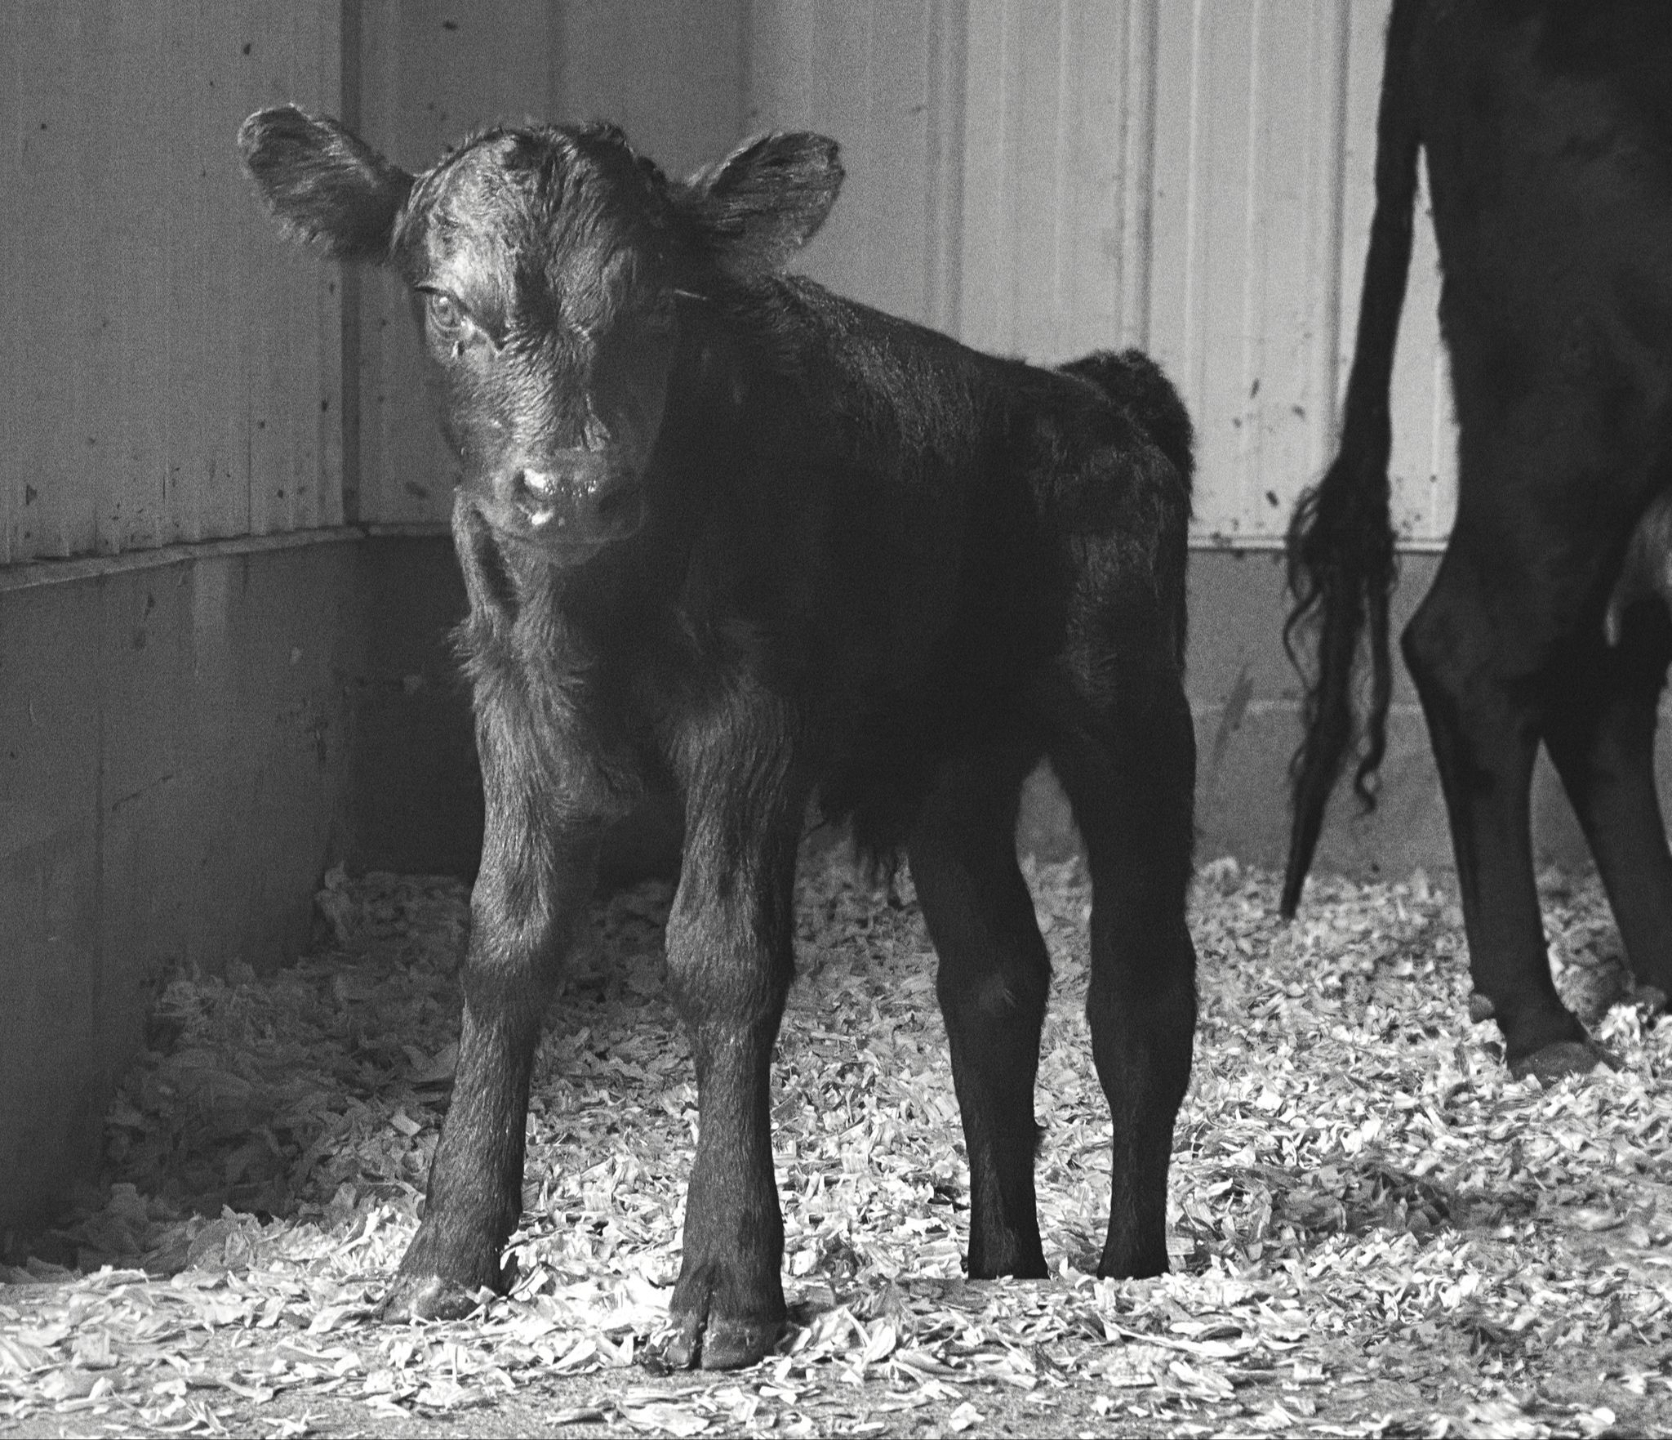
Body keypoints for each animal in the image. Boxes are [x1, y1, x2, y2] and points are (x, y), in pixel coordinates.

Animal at [239, 106, 1199, 1369]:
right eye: (447, 306)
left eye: (658, 309)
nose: (567, 486)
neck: (602, 602)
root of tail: (1087, 394)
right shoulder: (510, 694)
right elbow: (505, 943)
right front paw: (446, 1251)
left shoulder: (755, 709)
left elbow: (721, 955)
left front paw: (727, 1286)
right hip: (950, 760)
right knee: (993, 978)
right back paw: (1003, 1262)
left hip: (1126, 704)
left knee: (1140, 988)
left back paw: (1131, 1265)